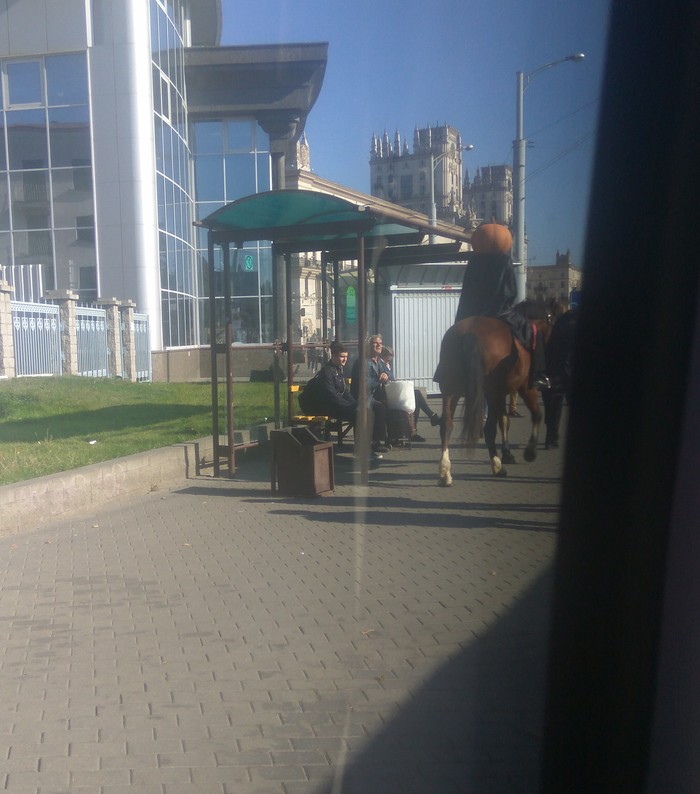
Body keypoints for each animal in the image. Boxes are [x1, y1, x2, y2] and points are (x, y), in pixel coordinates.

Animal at [432, 308, 552, 482]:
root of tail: (470, 333)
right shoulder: (524, 387)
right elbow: (536, 414)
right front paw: (529, 452)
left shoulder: (500, 394)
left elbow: (504, 420)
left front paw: (508, 453)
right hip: (492, 392)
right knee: (489, 429)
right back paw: (497, 466)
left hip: (451, 391)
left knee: (446, 425)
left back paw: (445, 472)